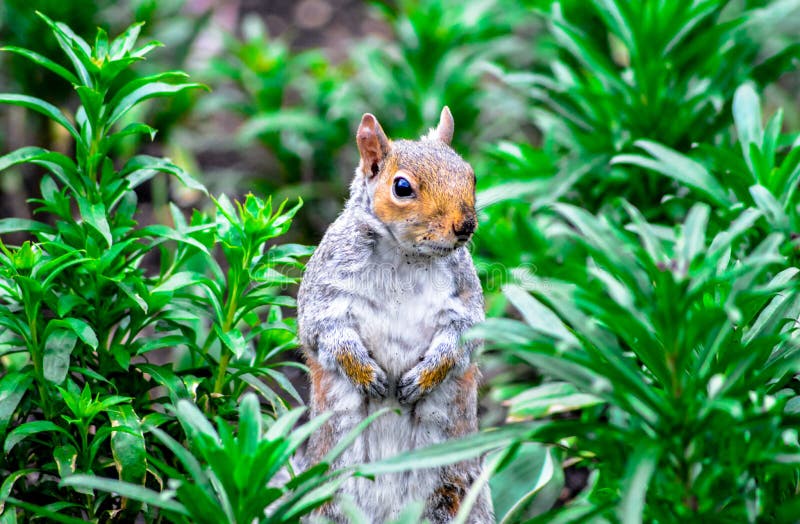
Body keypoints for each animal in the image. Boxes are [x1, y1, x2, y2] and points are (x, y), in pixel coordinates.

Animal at [296, 105, 490, 520]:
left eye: (471, 175)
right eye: (402, 187)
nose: (466, 226)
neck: (405, 257)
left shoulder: (463, 298)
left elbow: (461, 340)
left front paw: (422, 379)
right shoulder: (325, 293)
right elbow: (325, 332)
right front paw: (365, 374)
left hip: (454, 496)